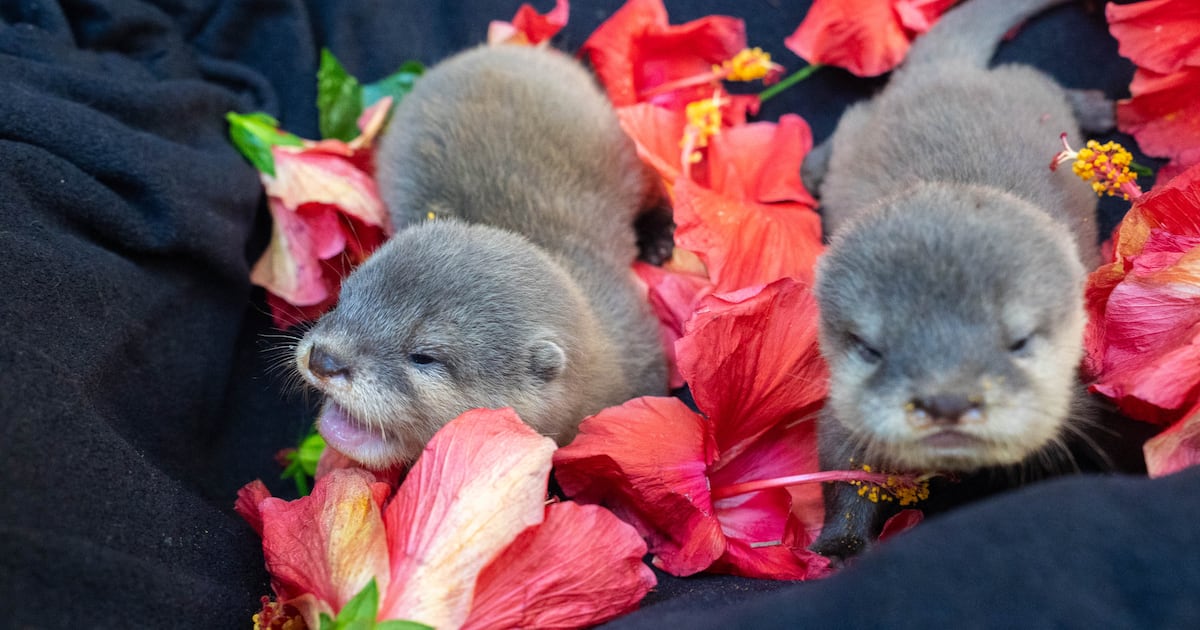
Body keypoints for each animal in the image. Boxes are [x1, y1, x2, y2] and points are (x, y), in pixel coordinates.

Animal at [805, 0, 1110, 558]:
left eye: (1019, 341)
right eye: (871, 348)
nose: (946, 402)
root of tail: (944, 70)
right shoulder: (841, 416)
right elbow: (844, 477)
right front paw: (839, 548)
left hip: (1026, 88)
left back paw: (1098, 110)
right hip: (866, 123)